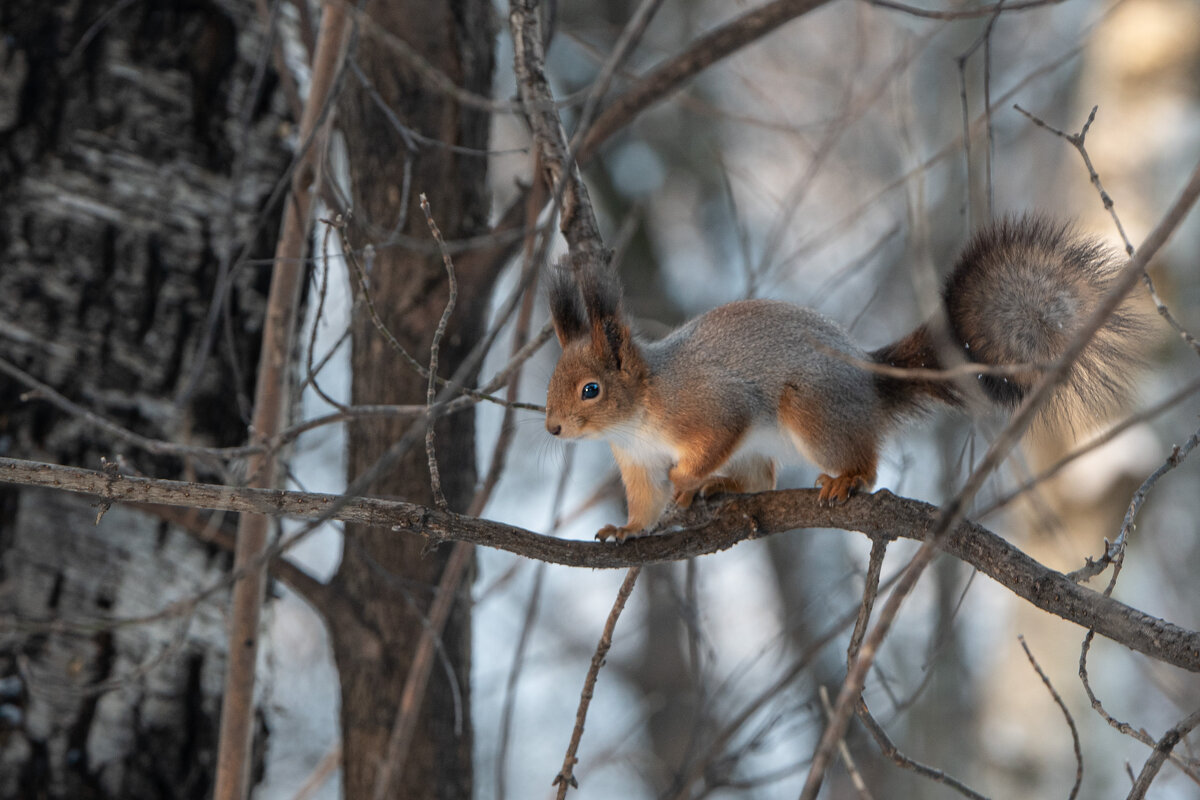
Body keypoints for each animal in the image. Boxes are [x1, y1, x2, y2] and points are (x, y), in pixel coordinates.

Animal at [544, 217, 1142, 544]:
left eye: (591, 389)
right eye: (551, 382)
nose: (552, 429)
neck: (640, 411)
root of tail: (871, 384)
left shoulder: (710, 405)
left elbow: (716, 433)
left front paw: (687, 478)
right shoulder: (636, 463)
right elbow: (645, 505)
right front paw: (627, 530)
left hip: (811, 411)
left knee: (862, 465)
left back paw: (843, 480)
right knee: (761, 479)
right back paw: (725, 487)